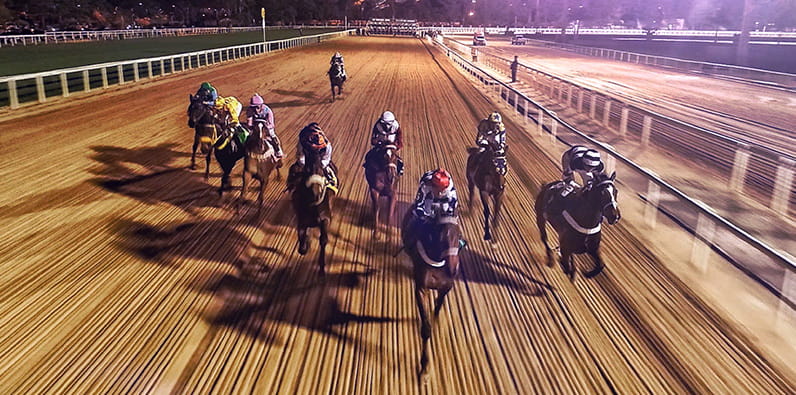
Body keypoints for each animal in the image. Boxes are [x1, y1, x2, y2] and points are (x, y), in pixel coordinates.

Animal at [290, 148, 336, 276]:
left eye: (321, 170)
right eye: (307, 170)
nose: (316, 192)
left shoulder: (325, 218)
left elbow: (323, 239)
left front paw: (321, 267)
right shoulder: (302, 219)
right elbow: (301, 241)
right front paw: (306, 245)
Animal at [402, 210, 464, 380]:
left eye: (459, 234)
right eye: (441, 235)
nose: (453, 269)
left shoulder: (446, 288)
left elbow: (436, 310)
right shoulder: (421, 288)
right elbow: (426, 328)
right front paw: (424, 368)